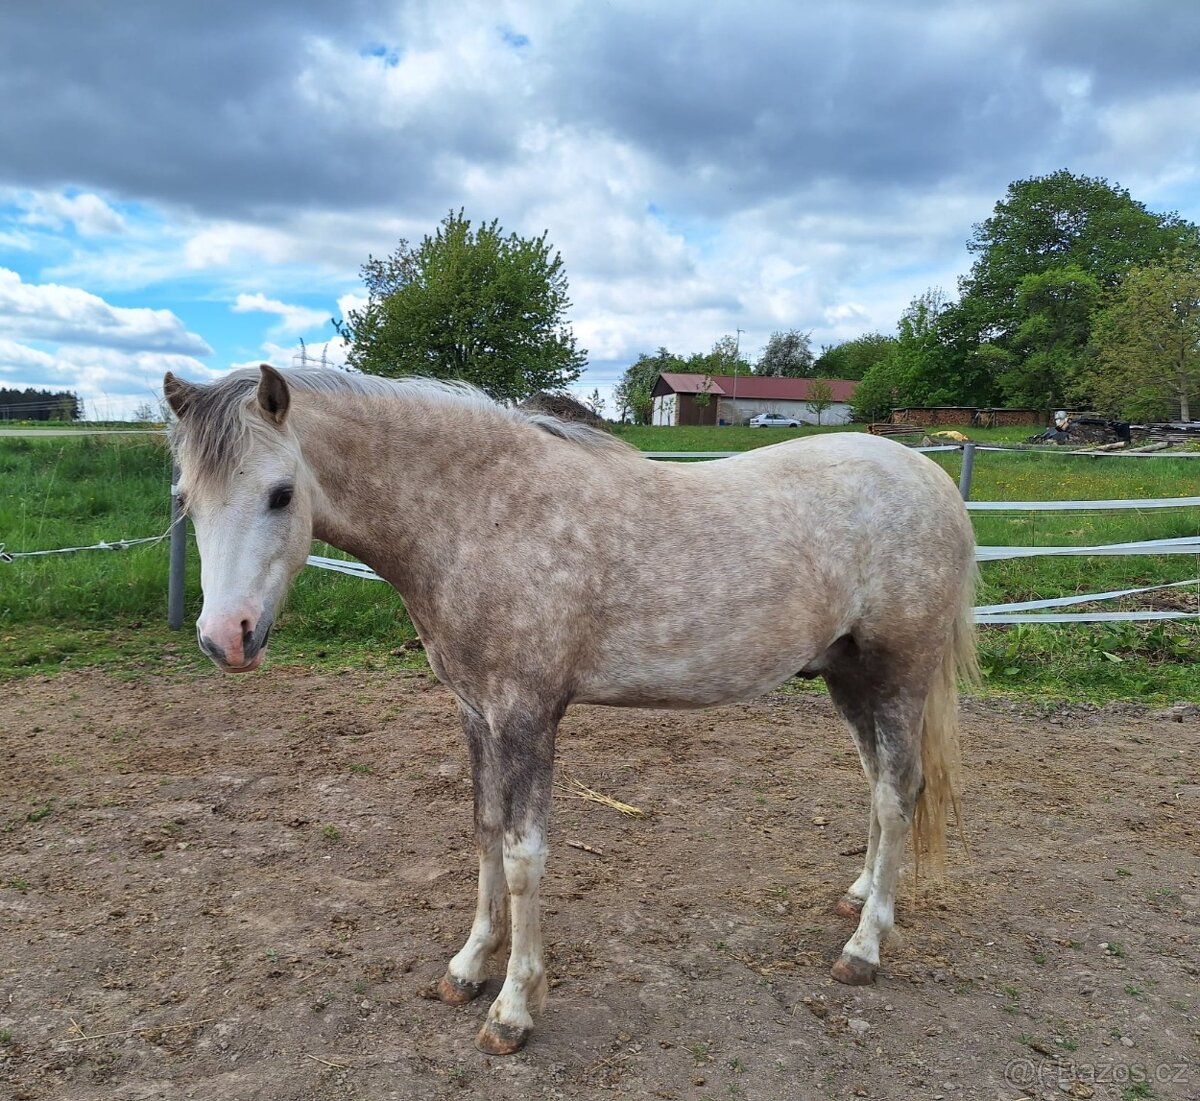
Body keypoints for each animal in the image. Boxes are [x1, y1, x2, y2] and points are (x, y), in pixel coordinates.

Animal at [163, 364, 977, 1055]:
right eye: (186, 500)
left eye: (280, 492)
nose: (225, 637)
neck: (483, 516)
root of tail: (933, 478)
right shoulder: (478, 714)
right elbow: (485, 834)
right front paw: (468, 966)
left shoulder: (527, 716)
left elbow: (524, 856)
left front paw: (514, 1008)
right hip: (849, 679)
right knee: (877, 788)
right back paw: (858, 897)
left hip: (897, 677)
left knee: (898, 793)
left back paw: (863, 949)